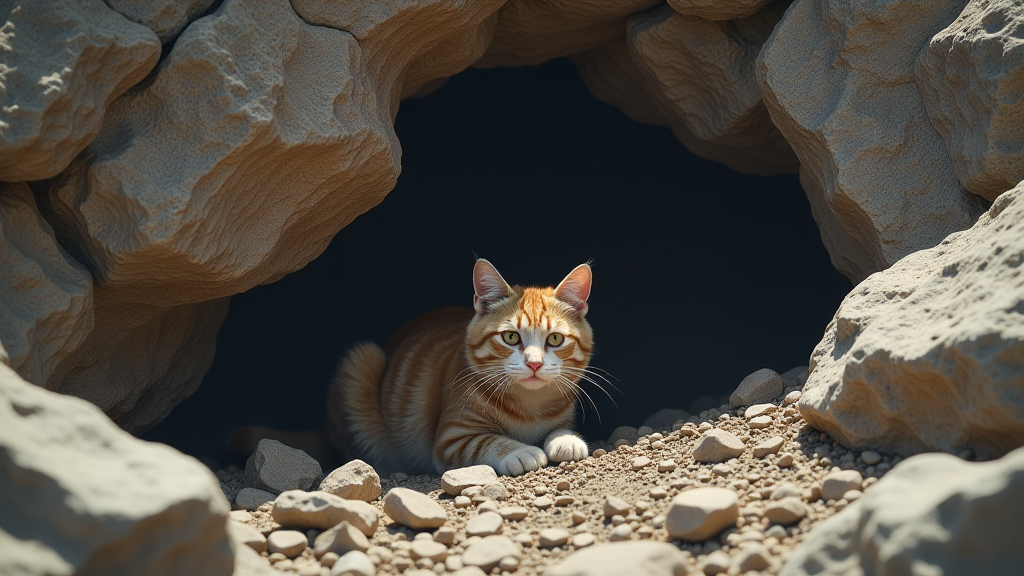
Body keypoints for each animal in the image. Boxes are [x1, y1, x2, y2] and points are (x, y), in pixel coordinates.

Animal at [327, 258, 593, 473]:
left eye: (555, 339)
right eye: (510, 337)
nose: (534, 364)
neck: (531, 405)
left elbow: (559, 428)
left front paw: (567, 439)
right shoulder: (452, 439)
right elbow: (488, 441)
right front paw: (521, 451)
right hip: (364, 359)